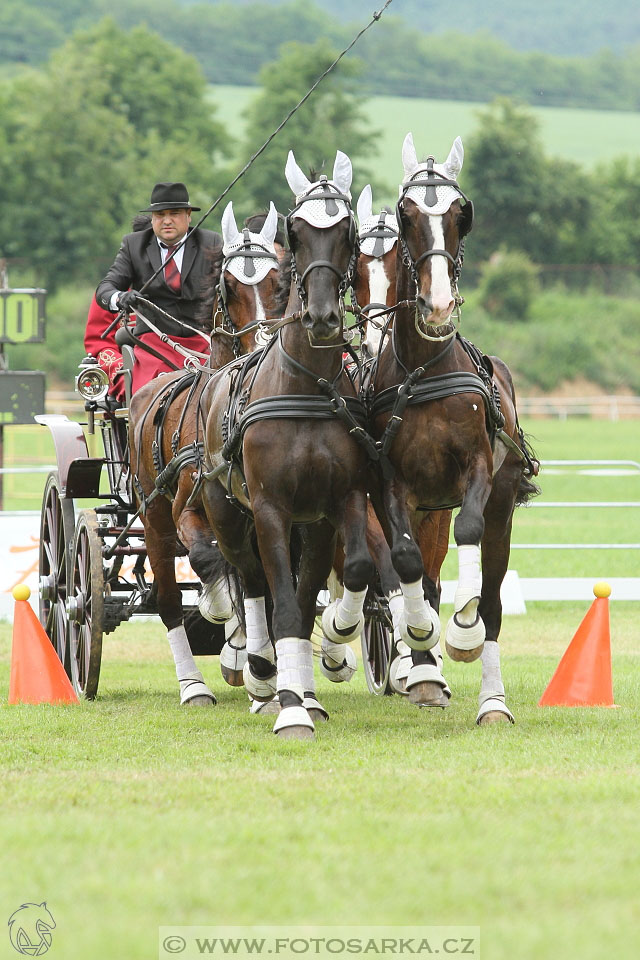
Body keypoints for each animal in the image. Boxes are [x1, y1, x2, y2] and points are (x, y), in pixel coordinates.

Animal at [126, 202, 282, 704]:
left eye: (280, 282)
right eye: (227, 287)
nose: (262, 346)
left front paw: (248, 659)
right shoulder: (187, 510)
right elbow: (210, 563)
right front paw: (226, 626)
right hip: (154, 520)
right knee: (169, 600)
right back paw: (193, 683)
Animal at [370, 133, 540, 720]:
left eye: (460, 215)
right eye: (406, 214)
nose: (439, 303)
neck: (423, 371)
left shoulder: (478, 471)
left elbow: (468, 542)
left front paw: (460, 634)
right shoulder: (392, 484)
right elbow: (405, 563)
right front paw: (420, 644)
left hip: (502, 510)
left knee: (491, 600)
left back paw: (492, 699)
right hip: (427, 509)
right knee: (423, 572)